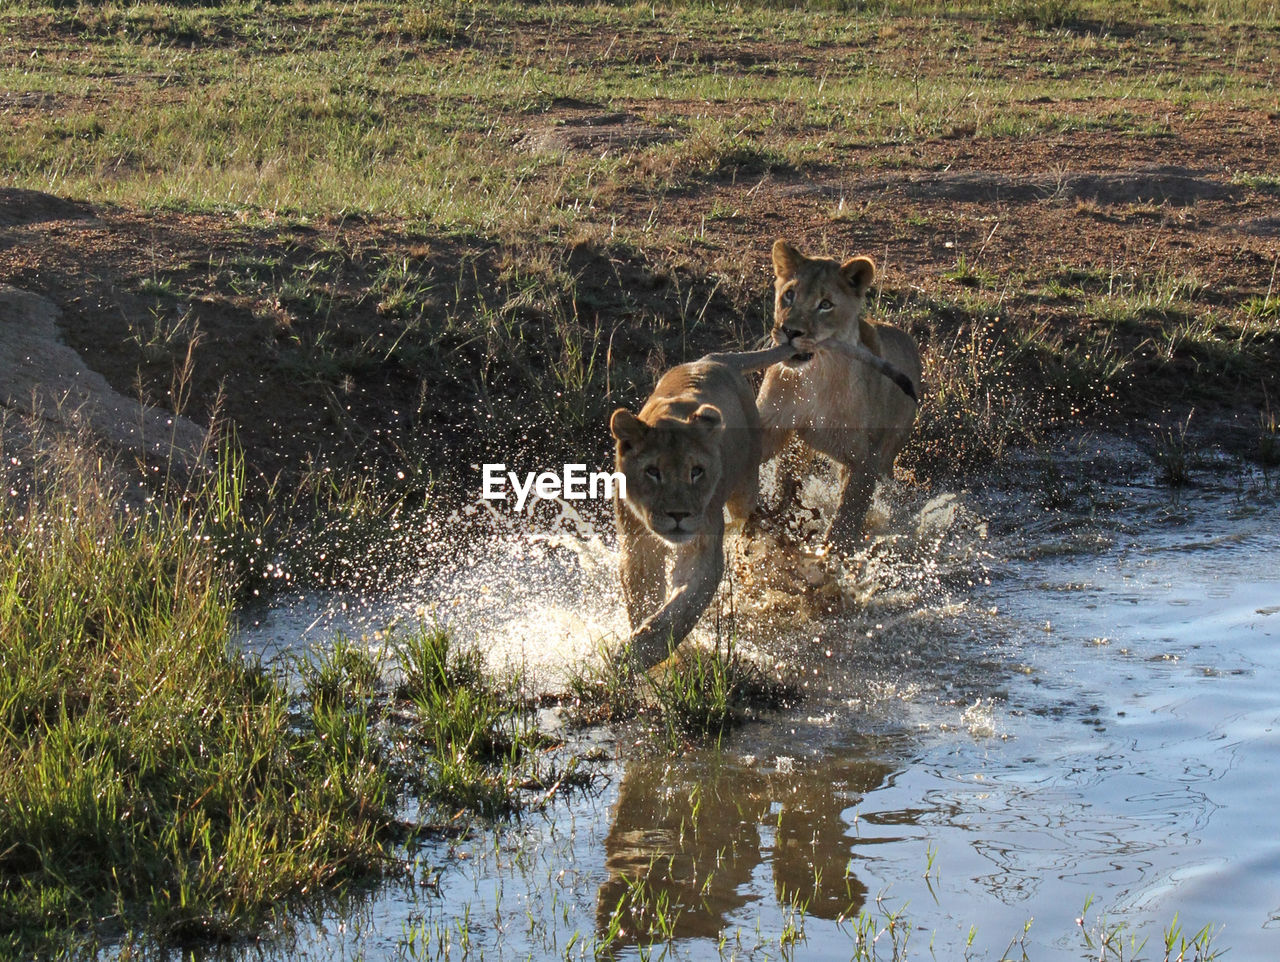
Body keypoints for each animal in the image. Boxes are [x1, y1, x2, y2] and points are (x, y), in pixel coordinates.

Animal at [609, 342, 798, 670]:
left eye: (696, 471)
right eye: (652, 471)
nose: (678, 516)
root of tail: (717, 359)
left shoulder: (703, 544)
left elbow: (684, 609)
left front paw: (639, 654)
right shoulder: (638, 544)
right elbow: (643, 595)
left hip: (745, 487)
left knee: (749, 513)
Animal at [752, 240, 926, 552]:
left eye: (825, 305)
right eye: (789, 295)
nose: (789, 331)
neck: (814, 376)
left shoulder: (865, 457)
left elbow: (849, 513)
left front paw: (833, 554)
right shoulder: (771, 427)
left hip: (890, 449)